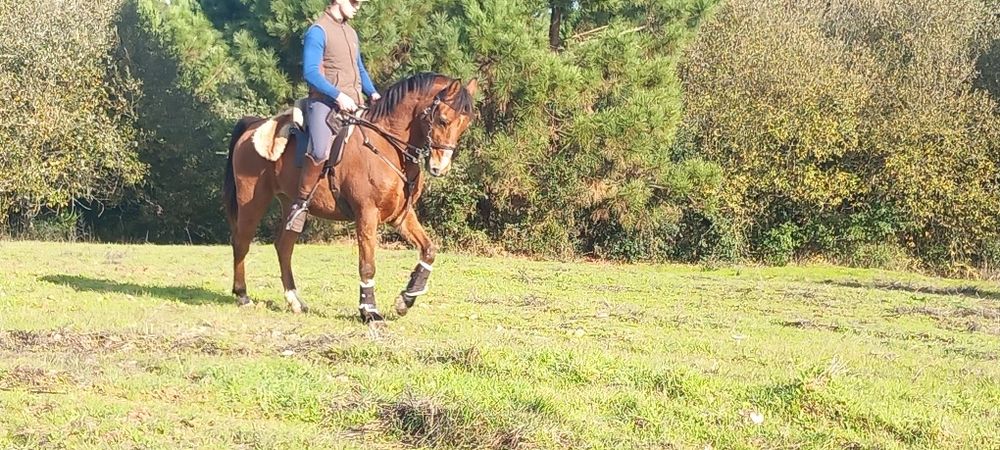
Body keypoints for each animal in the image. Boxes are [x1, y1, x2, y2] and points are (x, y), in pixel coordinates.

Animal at [222, 72, 477, 322]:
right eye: (443, 119)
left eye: (465, 124)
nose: (439, 168)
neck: (387, 145)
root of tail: (253, 125)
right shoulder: (366, 214)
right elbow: (367, 265)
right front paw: (369, 310)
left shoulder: (401, 216)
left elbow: (429, 250)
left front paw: (406, 299)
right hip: (252, 202)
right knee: (242, 242)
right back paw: (243, 295)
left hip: (291, 207)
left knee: (283, 247)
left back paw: (295, 301)